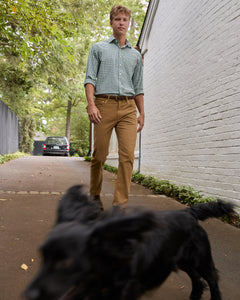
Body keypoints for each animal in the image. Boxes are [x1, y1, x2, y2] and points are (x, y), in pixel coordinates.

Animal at [24, 188, 234, 300]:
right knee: (197, 280)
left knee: (212, 281)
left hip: (201, 260)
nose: (29, 294)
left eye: (66, 263)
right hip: (180, 260)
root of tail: (188, 212)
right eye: (42, 257)